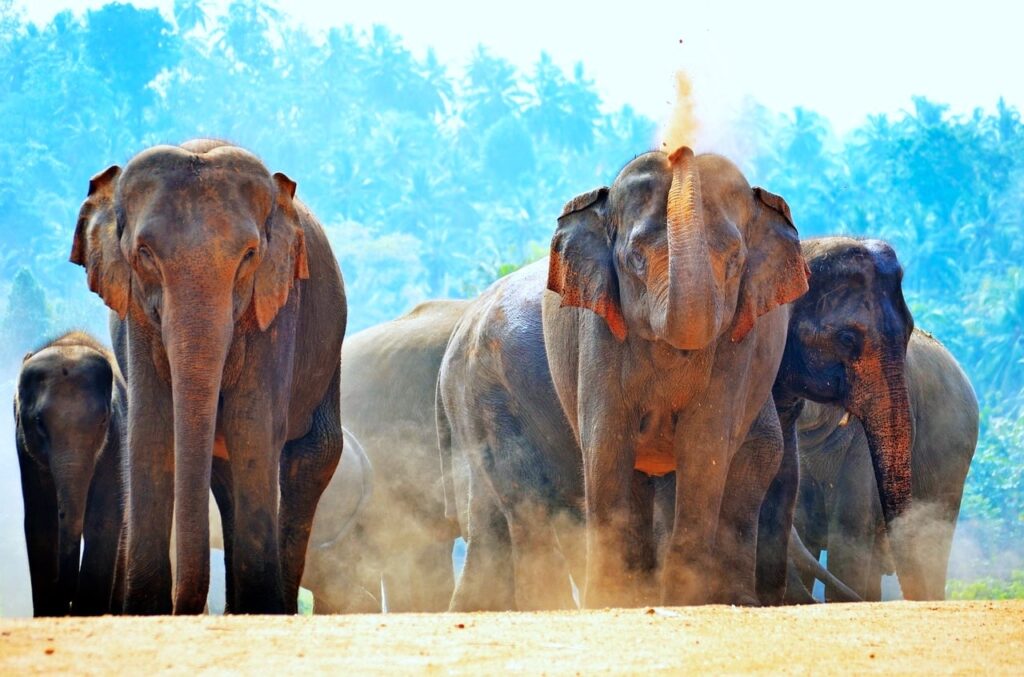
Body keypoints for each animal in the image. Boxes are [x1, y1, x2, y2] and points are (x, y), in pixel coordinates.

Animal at [14, 329, 126, 614]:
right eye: (39, 422)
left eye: (103, 420)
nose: (67, 595)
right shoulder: (25, 450)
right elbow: (40, 523)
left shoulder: (117, 440)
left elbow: (104, 521)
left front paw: (88, 612)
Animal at [71, 140, 348, 614]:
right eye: (144, 253)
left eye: (250, 256)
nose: (184, 608)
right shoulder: (135, 316)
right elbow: (151, 429)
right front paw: (145, 611)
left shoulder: (276, 307)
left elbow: (251, 427)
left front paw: (262, 607)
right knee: (225, 472)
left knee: (312, 455)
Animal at [436, 145, 811, 610]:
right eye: (635, 259)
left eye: (735, 262)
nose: (678, 149)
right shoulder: (597, 330)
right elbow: (607, 442)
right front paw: (610, 599)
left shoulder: (740, 341)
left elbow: (705, 445)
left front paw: (684, 599)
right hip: (487, 391)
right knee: (522, 496)